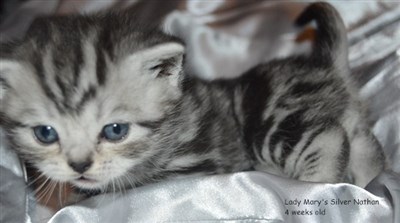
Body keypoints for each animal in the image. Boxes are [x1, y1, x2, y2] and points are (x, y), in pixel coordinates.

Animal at [0, 1, 386, 199]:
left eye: (114, 130)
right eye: (45, 134)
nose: (79, 165)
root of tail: (322, 65)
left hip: (269, 117)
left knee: (327, 138)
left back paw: (319, 187)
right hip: (348, 117)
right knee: (366, 148)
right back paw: (366, 183)